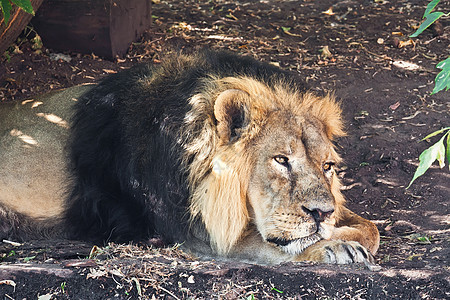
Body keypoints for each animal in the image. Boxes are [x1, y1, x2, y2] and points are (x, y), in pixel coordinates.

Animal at [0, 51, 380, 264]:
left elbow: (371, 229)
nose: (322, 213)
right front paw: (332, 249)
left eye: (327, 167)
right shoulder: (193, 231)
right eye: (281, 160)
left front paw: (341, 233)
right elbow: (262, 246)